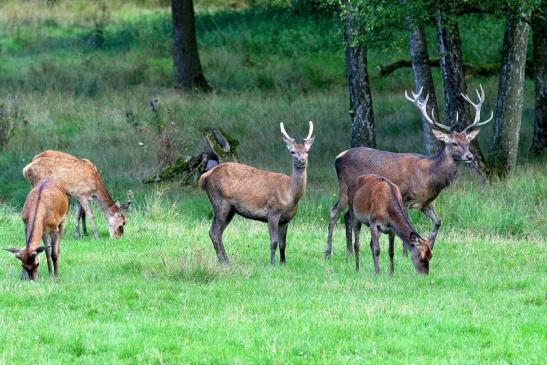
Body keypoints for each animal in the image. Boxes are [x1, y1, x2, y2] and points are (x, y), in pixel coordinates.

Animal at [200, 121, 316, 264]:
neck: (290, 197)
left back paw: (225, 260)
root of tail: (206, 176)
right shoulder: (272, 213)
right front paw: (272, 264)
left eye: (307, 151)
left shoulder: (286, 220)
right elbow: (274, 242)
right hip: (219, 201)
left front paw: (283, 263)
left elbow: (283, 244)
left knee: (218, 232)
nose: (302, 161)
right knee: (214, 232)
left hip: (231, 209)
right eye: (292, 151)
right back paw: (225, 262)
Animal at [324, 85, 494, 258]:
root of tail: (338, 157)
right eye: (454, 143)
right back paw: (328, 252)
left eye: (468, 141)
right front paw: (406, 254)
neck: (428, 177)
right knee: (334, 212)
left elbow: (438, 222)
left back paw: (349, 252)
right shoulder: (405, 198)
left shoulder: (425, 202)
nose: (469, 156)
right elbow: (408, 224)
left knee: (347, 216)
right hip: (345, 187)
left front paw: (430, 245)